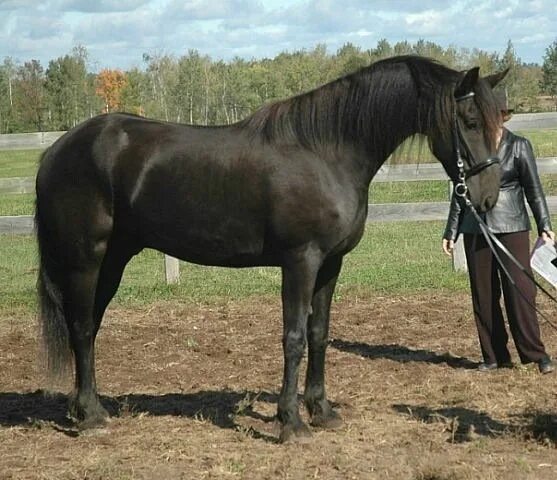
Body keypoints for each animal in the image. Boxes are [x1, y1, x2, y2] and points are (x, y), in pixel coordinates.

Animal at [33, 56, 504, 442]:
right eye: (469, 119)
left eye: (500, 120)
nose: (487, 198)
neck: (327, 151)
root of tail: (57, 149)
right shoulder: (300, 261)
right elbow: (293, 337)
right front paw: (291, 423)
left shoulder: (331, 264)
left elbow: (319, 333)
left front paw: (322, 411)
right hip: (86, 259)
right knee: (81, 328)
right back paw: (92, 417)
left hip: (113, 259)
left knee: (88, 326)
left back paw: (85, 408)